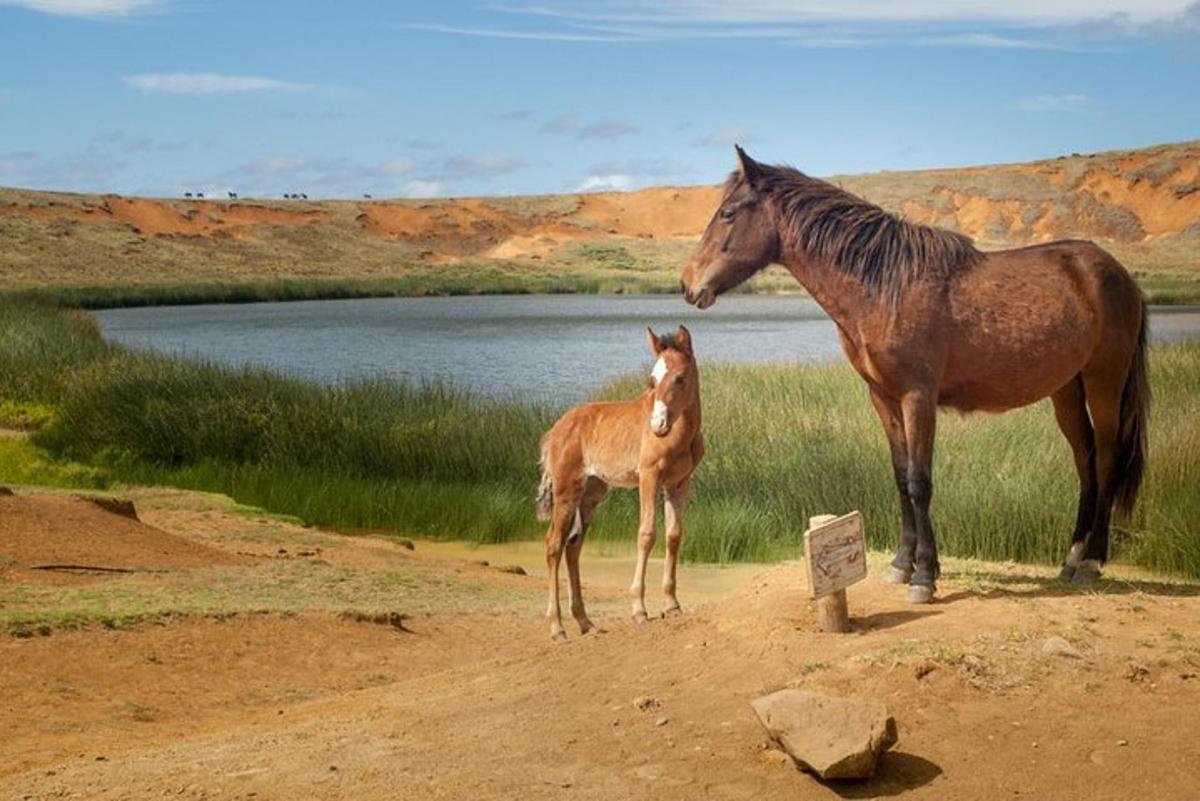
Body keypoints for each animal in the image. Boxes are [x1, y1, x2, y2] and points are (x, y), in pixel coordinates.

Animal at [537, 323, 700, 637]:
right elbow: (646, 534)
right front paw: (639, 610)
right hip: (566, 490)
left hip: (592, 492)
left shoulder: (679, 483)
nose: (658, 425)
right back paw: (557, 627)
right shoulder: (649, 476)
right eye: (652, 380)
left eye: (680, 378)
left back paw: (585, 622)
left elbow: (674, 535)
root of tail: (554, 430)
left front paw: (672, 605)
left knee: (573, 545)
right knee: (553, 544)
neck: (681, 436)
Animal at [681, 146, 1147, 604]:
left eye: (728, 213)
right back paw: (1071, 558)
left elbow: (920, 482)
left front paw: (924, 576)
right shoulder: (883, 397)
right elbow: (900, 476)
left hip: (1104, 384)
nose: (687, 285)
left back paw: (1092, 563)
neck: (887, 287)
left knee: (1106, 460)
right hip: (1066, 391)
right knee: (1084, 461)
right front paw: (904, 564)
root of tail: (1118, 274)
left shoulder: (917, 397)